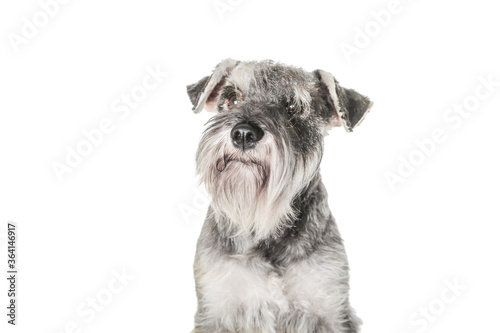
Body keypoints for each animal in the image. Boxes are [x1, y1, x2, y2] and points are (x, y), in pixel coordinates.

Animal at [187, 58, 372, 330]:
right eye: (232, 98)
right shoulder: (216, 310)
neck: (264, 224)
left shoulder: (330, 311)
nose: (243, 133)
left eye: (293, 107)